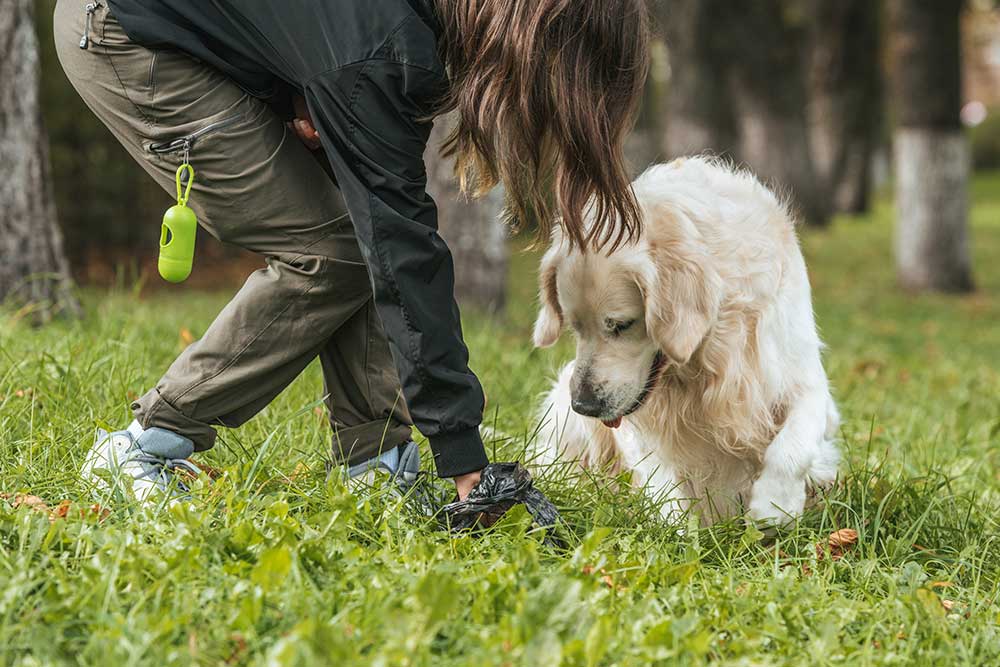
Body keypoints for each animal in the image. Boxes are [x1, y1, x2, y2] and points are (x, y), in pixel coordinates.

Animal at [536, 158, 840, 528]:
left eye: (621, 325)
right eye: (575, 328)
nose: (585, 406)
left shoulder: (802, 378)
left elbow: (793, 444)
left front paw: (774, 505)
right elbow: (660, 477)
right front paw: (674, 529)